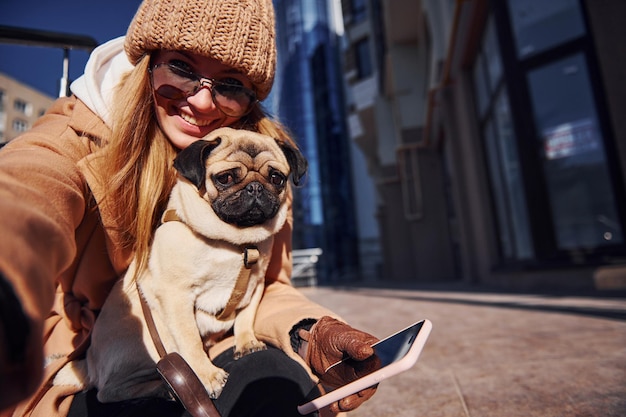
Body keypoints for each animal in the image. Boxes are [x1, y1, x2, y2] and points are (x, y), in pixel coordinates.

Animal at [55, 126, 308, 400]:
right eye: (225, 178)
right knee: (109, 391)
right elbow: (190, 341)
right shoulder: (177, 296)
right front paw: (207, 376)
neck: (233, 242)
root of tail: (90, 362)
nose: (255, 187)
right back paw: (163, 389)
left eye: (277, 178)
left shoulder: (255, 284)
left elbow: (245, 316)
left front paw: (246, 342)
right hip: (152, 343)